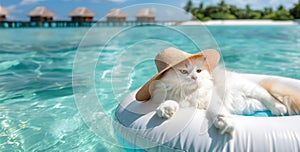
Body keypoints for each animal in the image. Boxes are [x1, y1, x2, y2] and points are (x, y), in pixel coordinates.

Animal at [151, 57, 288, 135]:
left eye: (198, 71)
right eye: (183, 72)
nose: (195, 77)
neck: (189, 93)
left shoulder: (213, 99)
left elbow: (217, 111)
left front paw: (225, 123)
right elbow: (169, 102)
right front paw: (165, 110)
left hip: (249, 88)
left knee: (268, 96)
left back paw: (279, 109)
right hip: (249, 104)